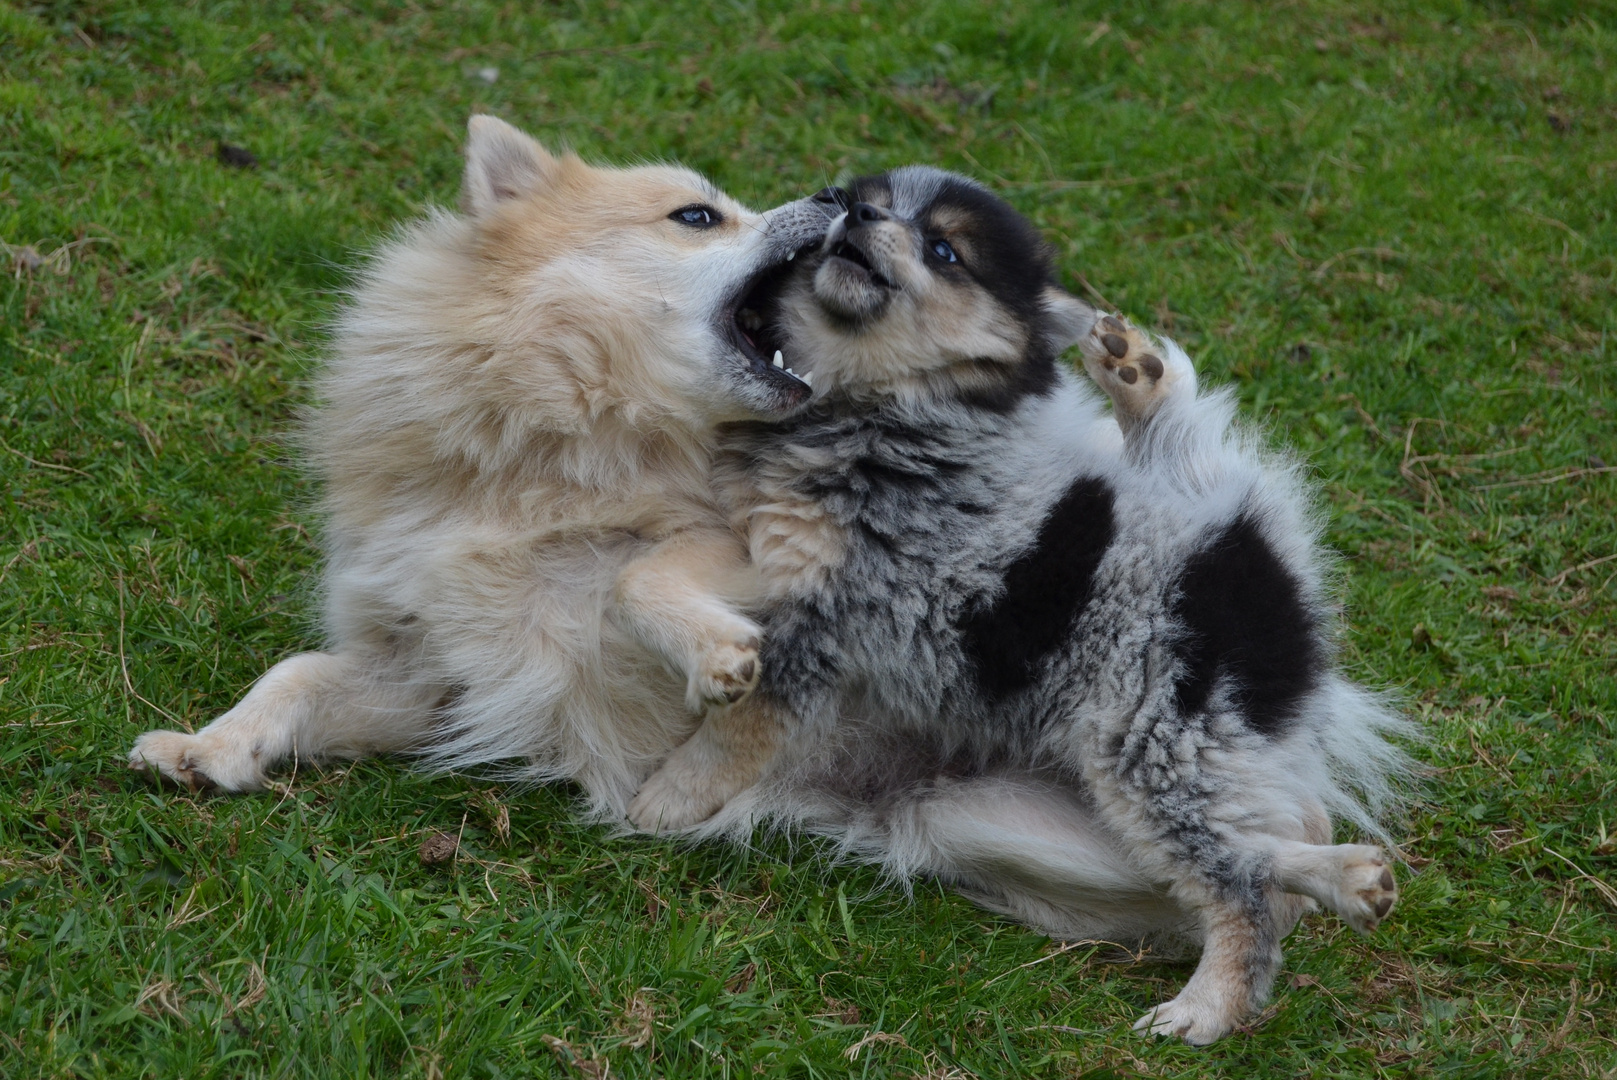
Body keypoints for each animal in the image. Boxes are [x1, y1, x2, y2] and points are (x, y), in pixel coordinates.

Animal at [127, 113, 827, 814]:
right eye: (698, 216)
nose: (835, 196)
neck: (547, 457)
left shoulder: (754, 549)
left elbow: (637, 578)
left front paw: (712, 651)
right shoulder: (427, 672)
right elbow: (294, 672)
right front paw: (211, 746)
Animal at [624, 168, 1410, 1047]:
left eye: (943, 250)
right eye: (870, 200)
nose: (850, 211)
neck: (879, 405)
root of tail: (1259, 560)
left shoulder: (826, 617)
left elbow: (737, 726)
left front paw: (669, 797)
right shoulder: (763, 551)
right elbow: (643, 580)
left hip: (1151, 741)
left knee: (1237, 879)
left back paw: (1211, 1004)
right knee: (1263, 839)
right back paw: (1344, 877)